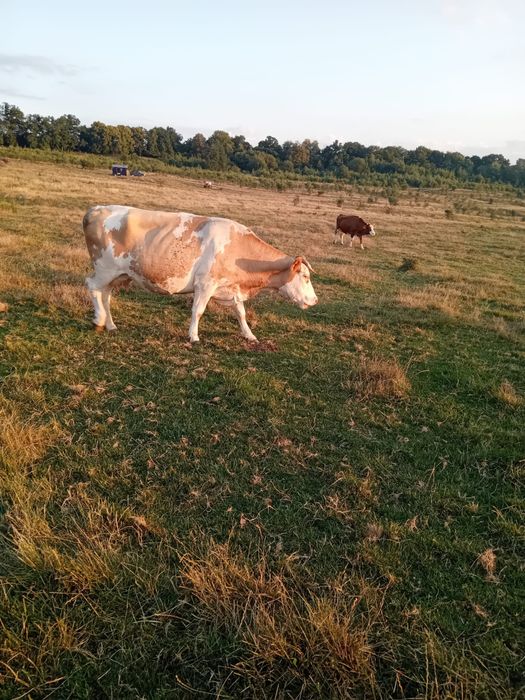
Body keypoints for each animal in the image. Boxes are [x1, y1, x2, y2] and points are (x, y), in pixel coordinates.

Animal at [83, 205, 318, 343]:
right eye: (305, 277)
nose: (315, 300)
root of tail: (96, 209)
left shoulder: (232, 287)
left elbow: (240, 313)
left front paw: (249, 335)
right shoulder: (205, 284)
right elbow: (198, 311)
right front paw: (193, 336)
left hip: (118, 275)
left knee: (105, 295)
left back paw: (111, 324)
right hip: (104, 269)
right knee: (92, 287)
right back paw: (99, 319)